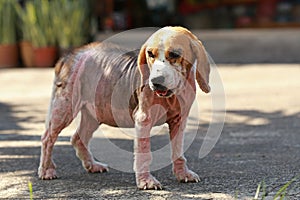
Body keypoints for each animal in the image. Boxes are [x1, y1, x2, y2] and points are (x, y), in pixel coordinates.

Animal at [38, 26, 211, 189]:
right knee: (48, 138)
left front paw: (183, 174)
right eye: (150, 54)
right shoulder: (143, 120)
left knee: (78, 138)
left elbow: (178, 150)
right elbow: (144, 153)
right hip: (64, 108)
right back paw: (47, 170)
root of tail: (70, 55)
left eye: (174, 54)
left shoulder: (179, 121)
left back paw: (92, 165)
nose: (155, 81)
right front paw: (146, 181)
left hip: (96, 112)